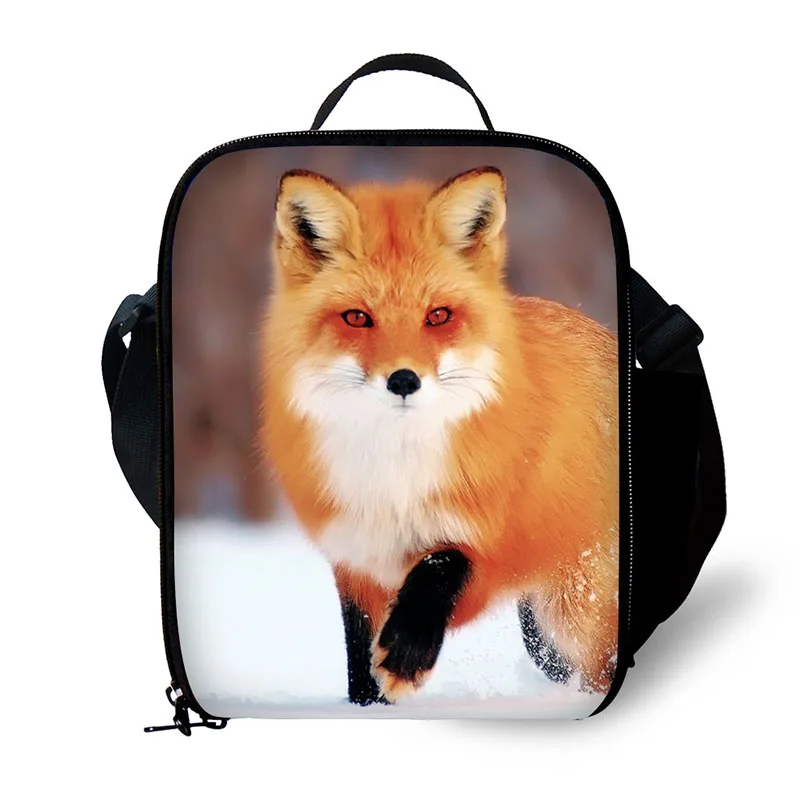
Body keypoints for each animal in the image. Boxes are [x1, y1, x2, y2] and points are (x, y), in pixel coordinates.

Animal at [260, 166, 619, 705]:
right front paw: (368, 707)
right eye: (358, 318)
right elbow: (359, 660)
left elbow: (439, 563)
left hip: (578, 613)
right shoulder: (355, 559)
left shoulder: (493, 543)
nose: (404, 380)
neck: (394, 481)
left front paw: (406, 656)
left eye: (438, 316)